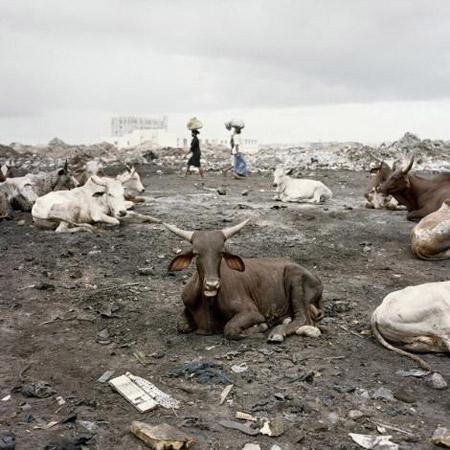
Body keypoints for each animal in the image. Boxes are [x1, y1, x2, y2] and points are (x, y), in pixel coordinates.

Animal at [165, 219, 324, 342]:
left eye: (221, 253)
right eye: (197, 253)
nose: (212, 285)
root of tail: (316, 278)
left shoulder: (252, 313)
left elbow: (230, 328)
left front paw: (261, 327)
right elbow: (181, 325)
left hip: (295, 279)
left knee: (303, 319)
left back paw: (277, 332)